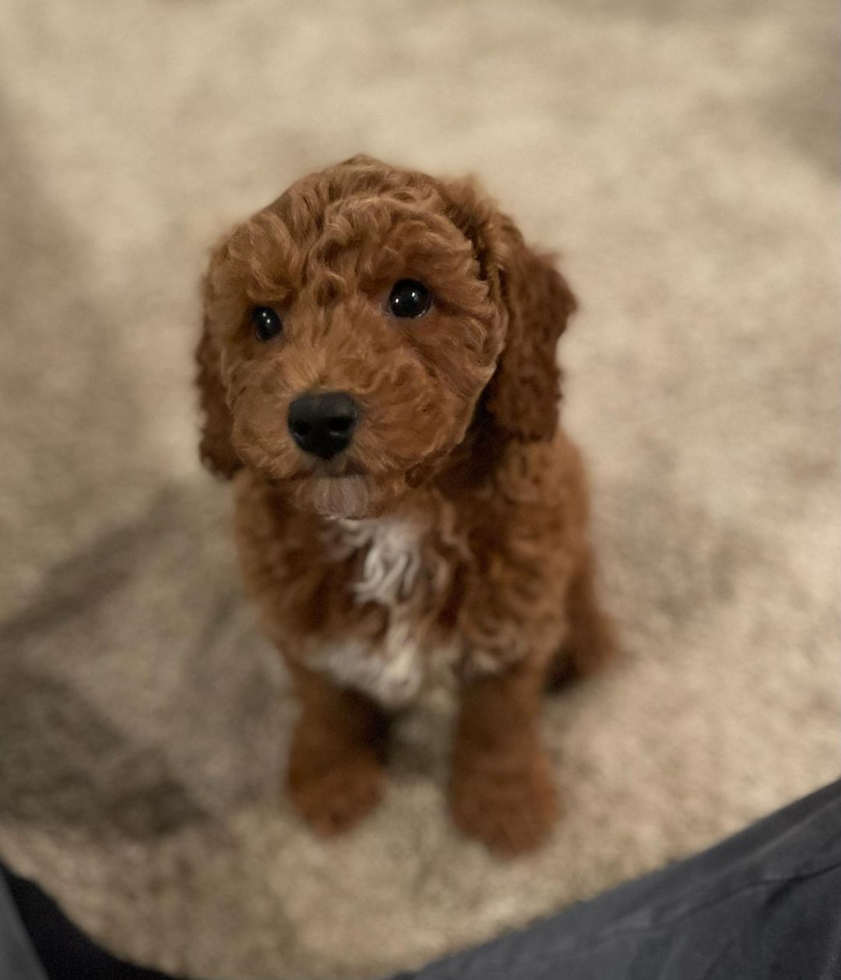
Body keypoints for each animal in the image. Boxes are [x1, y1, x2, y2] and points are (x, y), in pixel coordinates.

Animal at [196, 157, 612, 852]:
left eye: (410, 298)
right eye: (263, 322)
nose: (317, 418)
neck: (391, 520)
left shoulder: (512, 617)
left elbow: (499, 719)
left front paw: (505, 807)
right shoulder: (302, 627)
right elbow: (328, 706)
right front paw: (332, 783)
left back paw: (586, 641)